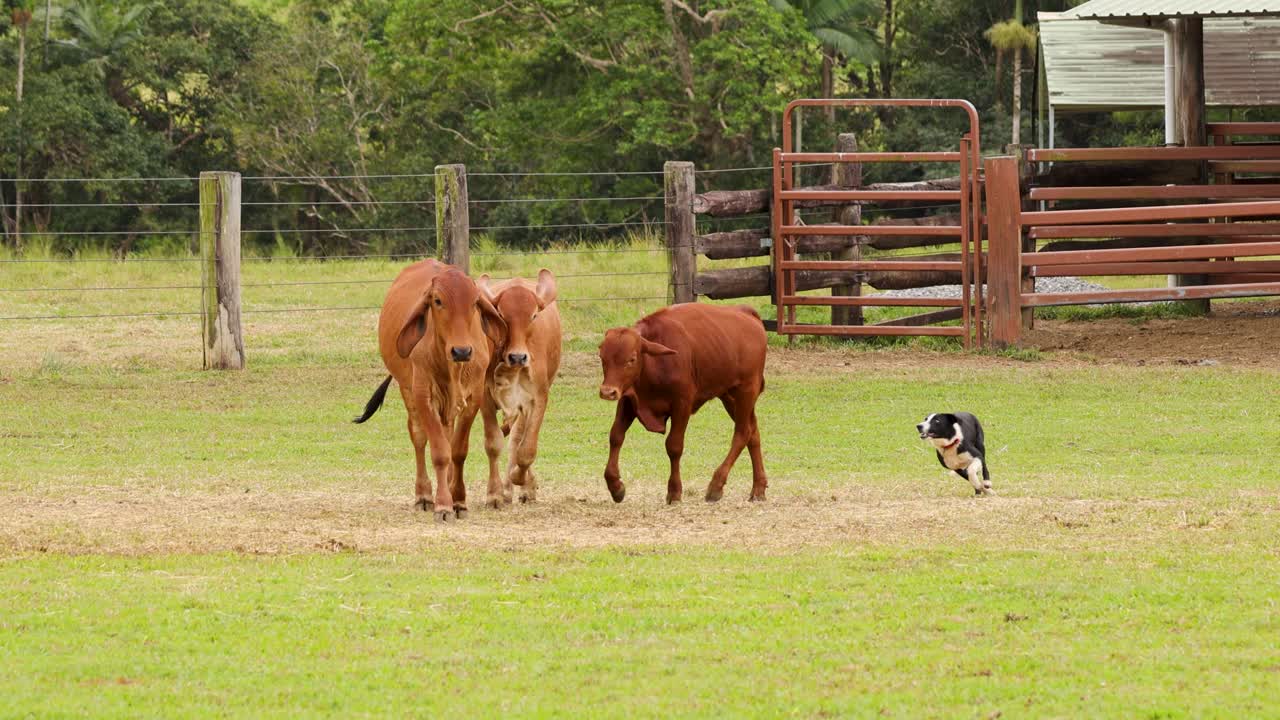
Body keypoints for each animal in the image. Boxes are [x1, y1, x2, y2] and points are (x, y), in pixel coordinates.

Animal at [352, 259, 504, 522]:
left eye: (475, 302)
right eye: (438, 300)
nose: (461, 351)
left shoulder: (472, 398)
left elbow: (458, 450)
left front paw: (458, 500)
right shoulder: (424, 396)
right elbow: (440, 452)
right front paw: (443, 504)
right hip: (407, 390)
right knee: (419, 437)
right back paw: (423, 495)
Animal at [475, 269, 562, 507]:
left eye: (533, 316)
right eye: (502, 316)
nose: (517, 357)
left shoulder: (537, 399)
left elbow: (526, 449)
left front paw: (521, 480)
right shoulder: (485, 397)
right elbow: (493, 444)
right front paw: (494, 494)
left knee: (517, 440)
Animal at [597, 303, 768, 505]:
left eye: (631, 359)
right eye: (602, 357)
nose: (607, 392)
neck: (655, 363)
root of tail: (746, 312)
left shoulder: (682, 405)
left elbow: (674, 446)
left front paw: (674, 491)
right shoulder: (628, 401)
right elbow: (616, 436)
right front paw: (615, 486)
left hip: (746, 391)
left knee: (742, 433)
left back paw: (716, 485)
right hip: (729, 397)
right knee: (753, 433)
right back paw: (758, 488)